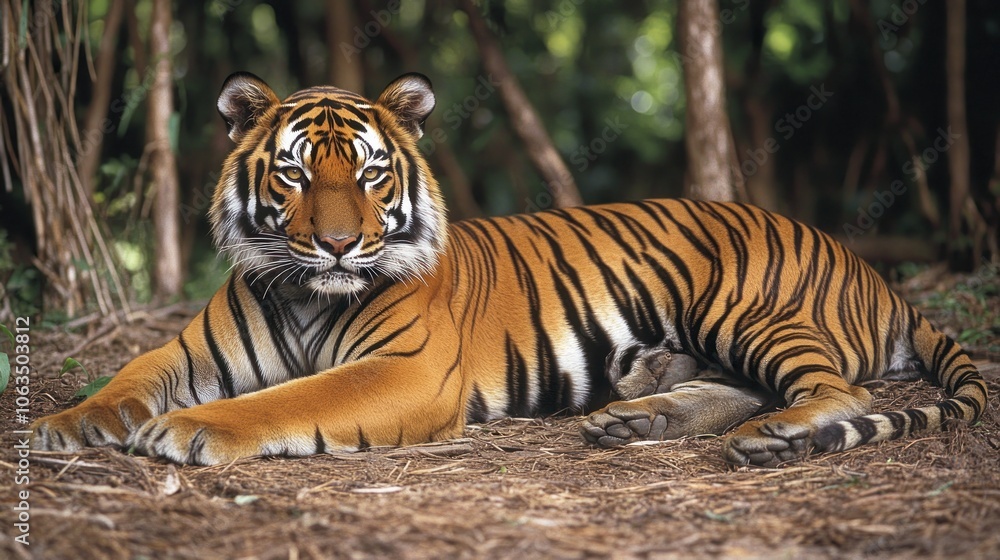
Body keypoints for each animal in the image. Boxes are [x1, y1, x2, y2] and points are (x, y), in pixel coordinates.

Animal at [31, 72, 988, 468]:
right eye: (296, 174)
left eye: (370, 173)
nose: (337, 246)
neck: (308, 292)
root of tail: (868, 266)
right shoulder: (191, 350)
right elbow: (131, 373)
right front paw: (64, 427)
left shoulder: (406, 369)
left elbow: (288, 399)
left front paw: (191, 431)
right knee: (748, 387)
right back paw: (640, 416)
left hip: (744, 305)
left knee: (834, 391)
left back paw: (776, 438)